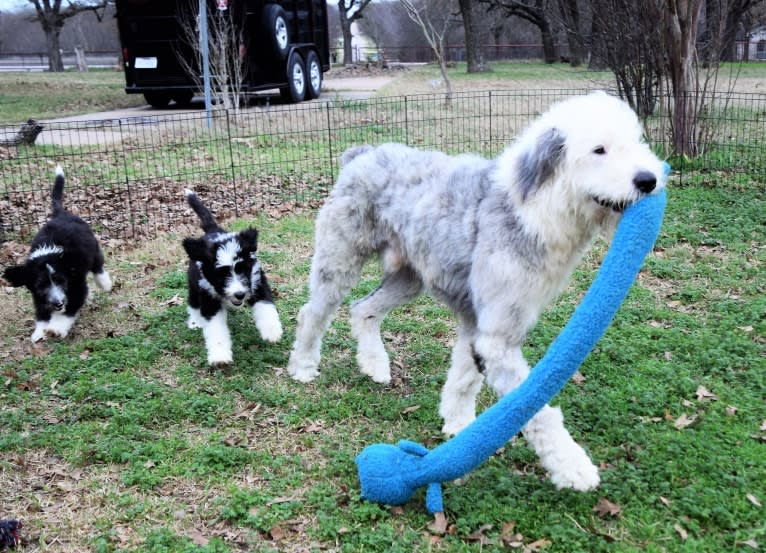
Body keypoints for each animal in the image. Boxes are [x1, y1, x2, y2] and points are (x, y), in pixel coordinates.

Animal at [2, 164, 114, 340]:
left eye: (61, 281)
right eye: (41, 285)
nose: (58, 303)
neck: (49, 254)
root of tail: (61, 213)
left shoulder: (75, 286)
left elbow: (67, 312)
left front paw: (55, 329)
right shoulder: (38, 295)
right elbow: (41, 313)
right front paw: (39, 332)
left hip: (94, 251)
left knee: (98, 267)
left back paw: (104, 283)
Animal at [184, 190, 284, 366]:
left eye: (242, 270)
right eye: (222, 275)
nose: (239, 295)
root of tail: (212, 230)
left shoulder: (256, 281)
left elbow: (266, 306)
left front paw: (271, 331)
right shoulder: (208, 297)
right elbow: (215, 328)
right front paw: (219, 356)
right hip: (194, 284)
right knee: (193, 302)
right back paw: (195, 322)